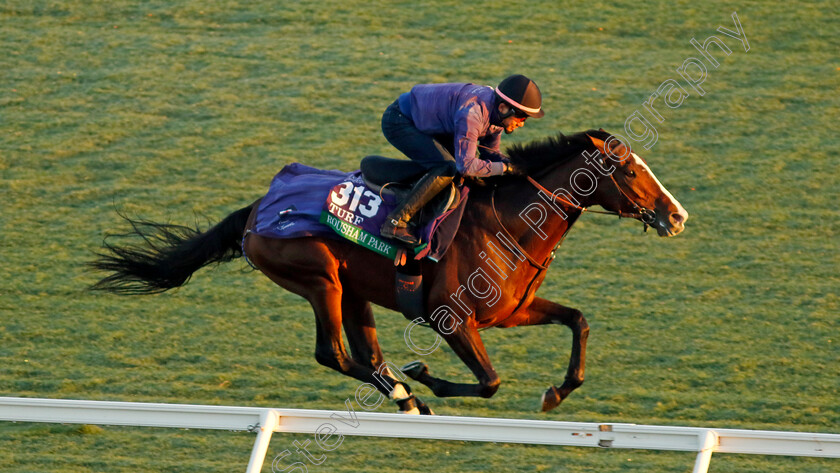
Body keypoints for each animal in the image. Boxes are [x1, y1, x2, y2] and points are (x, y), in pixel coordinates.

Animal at [92, 129, 688, 412]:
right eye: (630, 170)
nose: (676, 215)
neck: (509, 223)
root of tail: (258, 206)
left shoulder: (509, 312)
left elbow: (577, 320)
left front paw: (557, 392)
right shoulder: (451, 318)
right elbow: (490, 382)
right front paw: (425, 375)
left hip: (353, 290)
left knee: (365, 355)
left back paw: (404, 396)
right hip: (320, 280)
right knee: (332, 354)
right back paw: (408, 394)